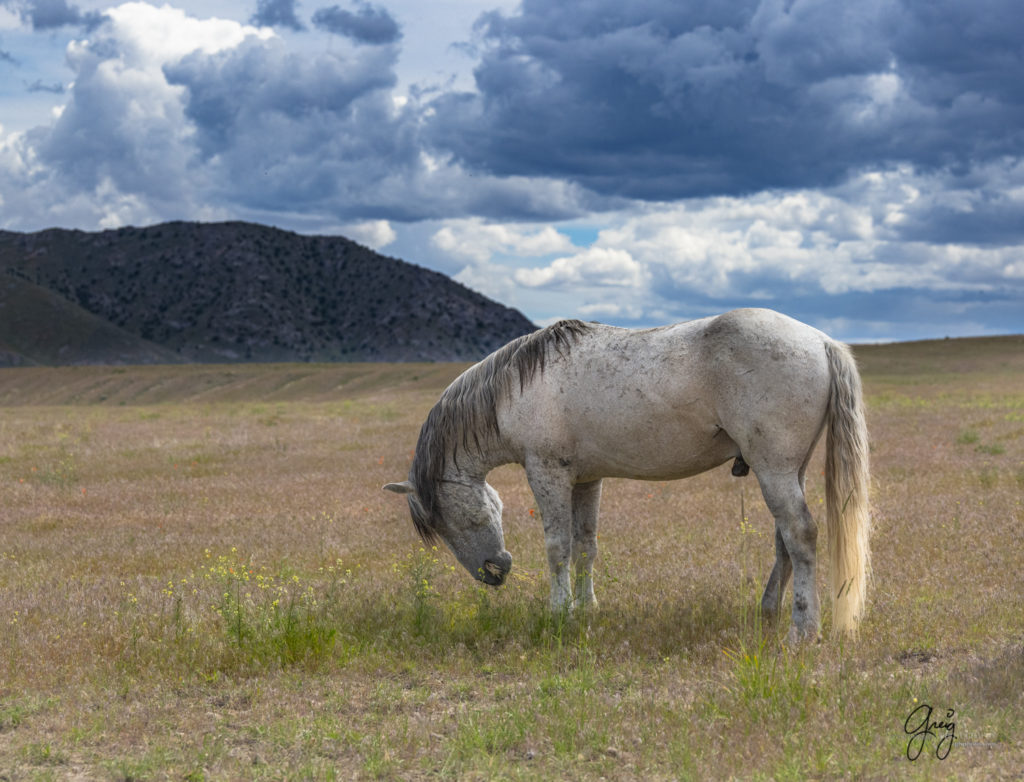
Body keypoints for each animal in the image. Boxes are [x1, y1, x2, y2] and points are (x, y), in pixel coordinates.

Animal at [387, 307, 868, 642]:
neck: (514, 388)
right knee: (784, 541)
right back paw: (768, 613)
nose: (493, 572)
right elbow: (586, 547)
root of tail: (820, 341)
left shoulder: (547, 474)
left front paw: (558, 614)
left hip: (774, 470)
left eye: (441, 523)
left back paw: (802, 631)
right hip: (789, 472)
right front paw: (587, 608)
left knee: (801, 535)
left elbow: (558, 548)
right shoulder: (586, 480)